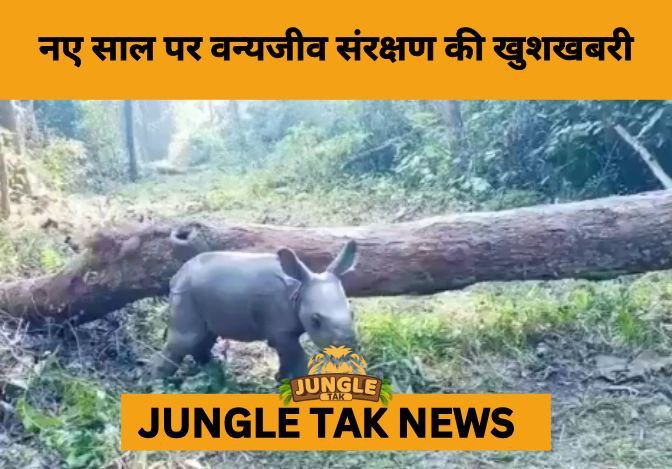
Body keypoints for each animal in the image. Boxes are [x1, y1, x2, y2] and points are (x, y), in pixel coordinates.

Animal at [150, 241, 358, 380]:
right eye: (315, 320)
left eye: (352, 314)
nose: (348, 346)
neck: (299, 291)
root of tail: (177, 275)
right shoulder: (281, 330)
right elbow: (297, 358)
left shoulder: (283, 331)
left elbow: (287, 356)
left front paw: (280, 378)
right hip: (185, 294)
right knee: (185, 339)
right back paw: (158, 384)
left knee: (204, 335)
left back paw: (214, 370)